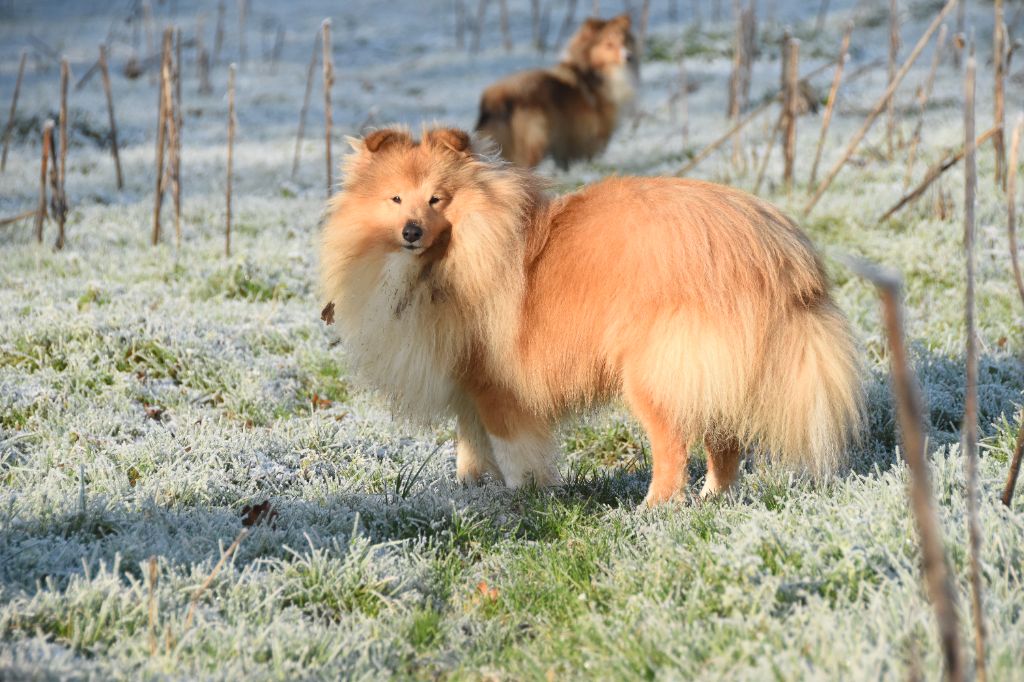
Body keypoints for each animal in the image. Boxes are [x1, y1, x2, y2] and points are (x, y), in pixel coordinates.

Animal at [319, 126, 865, 506]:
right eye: (395, 197)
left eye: (438, 198)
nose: (411, 231)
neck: (452, 257)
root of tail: (781, 252)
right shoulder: (467, 386)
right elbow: (471, 446)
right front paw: (474, 491)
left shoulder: (498, 385)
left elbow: (512, 449)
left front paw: (524, 496)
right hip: (710, 369)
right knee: (724, 441)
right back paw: (714, 498)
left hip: (655, 372)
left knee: (673, 450)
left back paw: (653, 509)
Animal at [475, 14, 638, 169]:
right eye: (609, 44)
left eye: (625, 41)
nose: (629, 57)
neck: (592, 70)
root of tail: (497, 97)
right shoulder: (597, 129)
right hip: (536, 138)